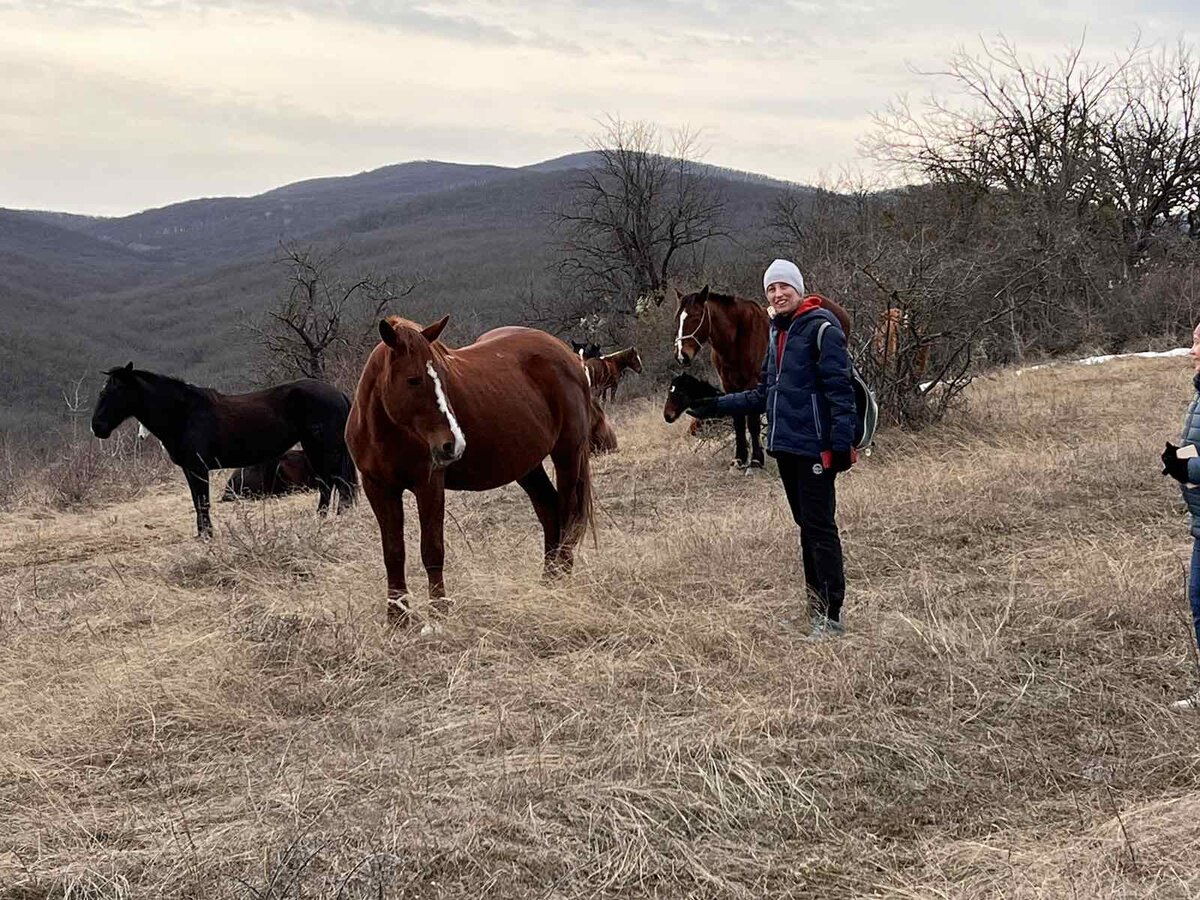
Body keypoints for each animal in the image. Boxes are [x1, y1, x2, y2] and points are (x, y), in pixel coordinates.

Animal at [91, 364, 356, 536]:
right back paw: (322, 517)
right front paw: (202, 535)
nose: (97, 427)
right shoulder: (190, 469)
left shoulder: (198, 468)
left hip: (325, 448)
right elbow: (197, 501)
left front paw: (207, 536)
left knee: (338, 483)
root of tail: (338, 394)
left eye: (113, 391)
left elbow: (202, 501)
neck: (183, 413)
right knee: (330, 484)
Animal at [346, 315, 595, 625]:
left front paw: (438, 613)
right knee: (550, 511)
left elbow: (432, 549)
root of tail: (568, 355)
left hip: (568, 455)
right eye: (413, 380)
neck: (386, 431)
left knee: (568, 515)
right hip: (527, 465)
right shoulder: (378, 489)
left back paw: (563, 581)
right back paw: (548, 582)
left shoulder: (429, 484)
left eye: (444, 376)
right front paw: (397, 619)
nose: (453, 444)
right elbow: (393, 553)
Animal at [672, 285, 770, 468]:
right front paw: (739, 458)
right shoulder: (729, 385)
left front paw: (756, 460)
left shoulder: (752, 384)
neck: (737, 338)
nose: (681, 355)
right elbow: (738, 419)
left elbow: (752, 422)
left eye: (696, 317)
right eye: (677, 319)